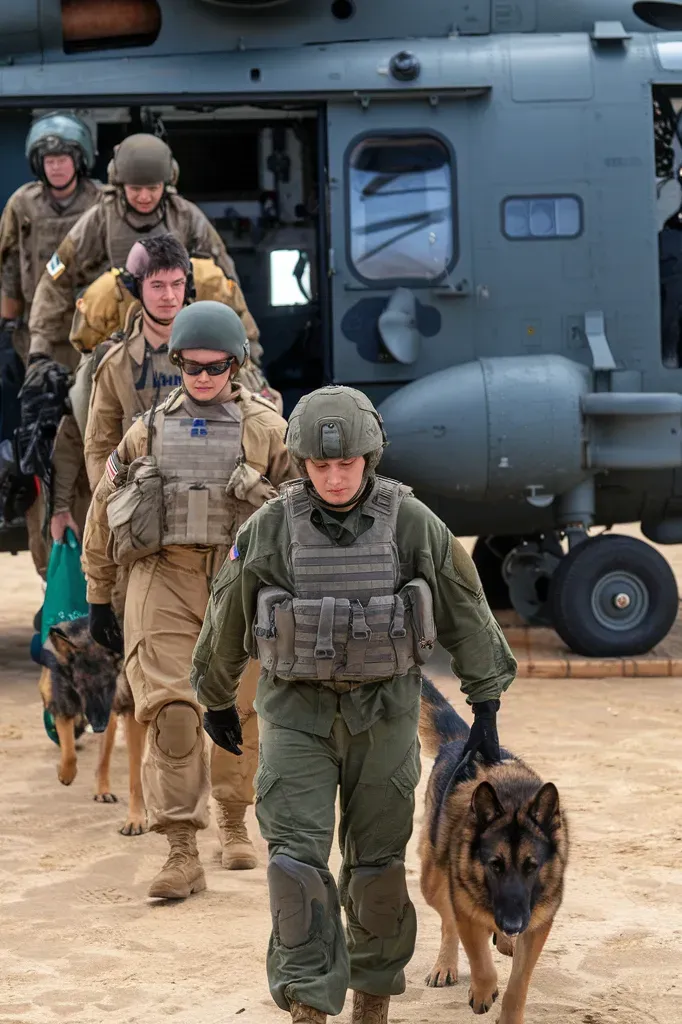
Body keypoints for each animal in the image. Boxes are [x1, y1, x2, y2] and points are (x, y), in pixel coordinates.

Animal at [38, 614, 147, 831]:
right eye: (82, 687)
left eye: (108, 685)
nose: (97, 725)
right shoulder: (64, 706)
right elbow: (69, 753)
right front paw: (65, 774)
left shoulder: (130, 716)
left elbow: (135, 774)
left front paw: (135, 819)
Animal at [417, 679, 565, 1024]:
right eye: (494, 865)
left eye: (532, 866)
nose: (512, 924)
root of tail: (461, 743)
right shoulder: (467, 907)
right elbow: (479, 960)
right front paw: (483, 991)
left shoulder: (537, 924)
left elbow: (519, 982)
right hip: (431, 881)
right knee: (448, 921)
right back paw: (446, 964)